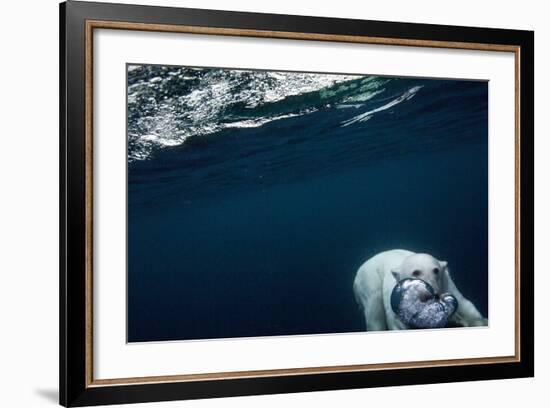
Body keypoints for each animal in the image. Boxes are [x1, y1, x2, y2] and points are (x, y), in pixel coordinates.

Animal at [354, 249, 488, 332]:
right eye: (416, 272)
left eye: (436, 270)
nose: (431, 293)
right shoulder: (395, 299)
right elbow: (398, 323)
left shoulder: (447, 284)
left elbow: (466, 307)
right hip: (369, 281)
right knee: (375, 316)